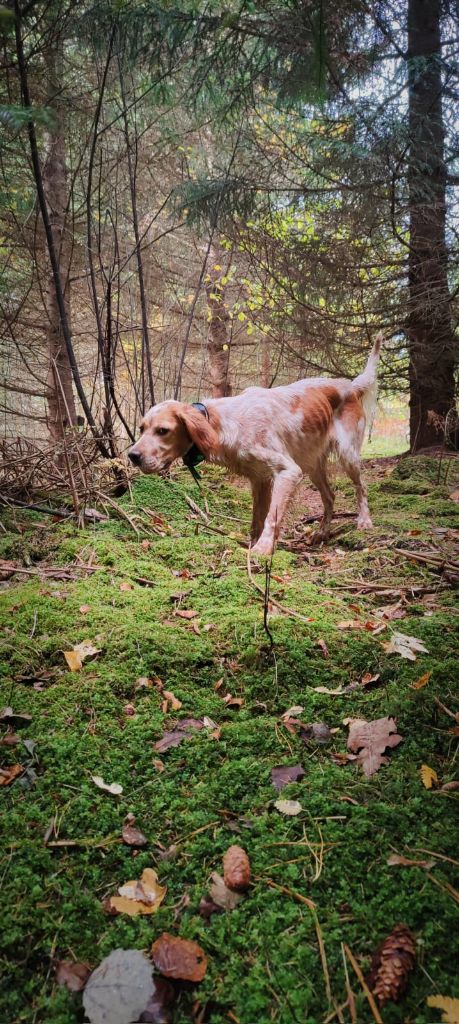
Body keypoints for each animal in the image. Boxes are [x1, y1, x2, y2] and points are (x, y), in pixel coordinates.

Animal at [127, 335, 381, 557]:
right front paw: (253, 544)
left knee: (361, 488)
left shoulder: (287, 471)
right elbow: (257, 519)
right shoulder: (260, 479)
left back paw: (365, 521)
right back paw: (322, 533)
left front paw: (263, 549)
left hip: (347, 455)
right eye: (141, 428)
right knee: (329, 496)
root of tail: (350, 385)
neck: (225, 423)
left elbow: (271, 517)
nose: (132, 455)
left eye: (163, 430)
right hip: (312, 465)